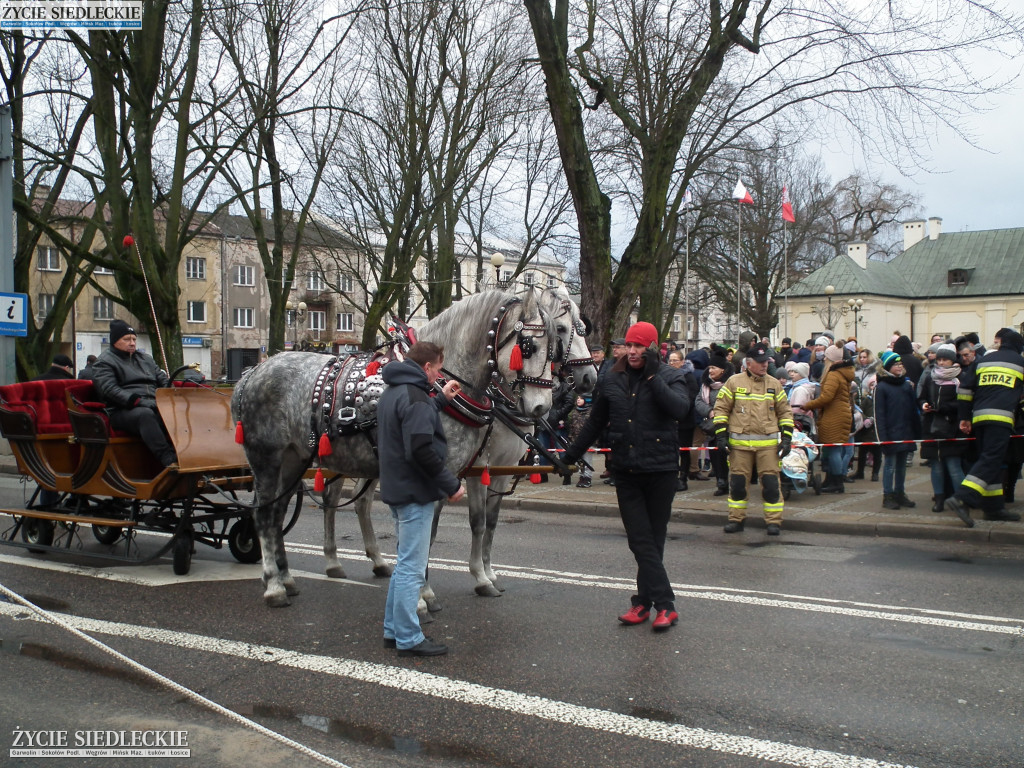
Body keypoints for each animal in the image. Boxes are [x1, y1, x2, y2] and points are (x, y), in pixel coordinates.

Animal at [232, 288, 557, 606]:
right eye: (528, 346)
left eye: (554, 347)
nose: (541, 407)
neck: (435, 384)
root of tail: (252, 373)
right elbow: (426, 535)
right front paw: (423, 595)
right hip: (266, 458)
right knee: (264, 515)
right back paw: (274, 585)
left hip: (295, 459)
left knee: (279, 512)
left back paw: (288, 578)